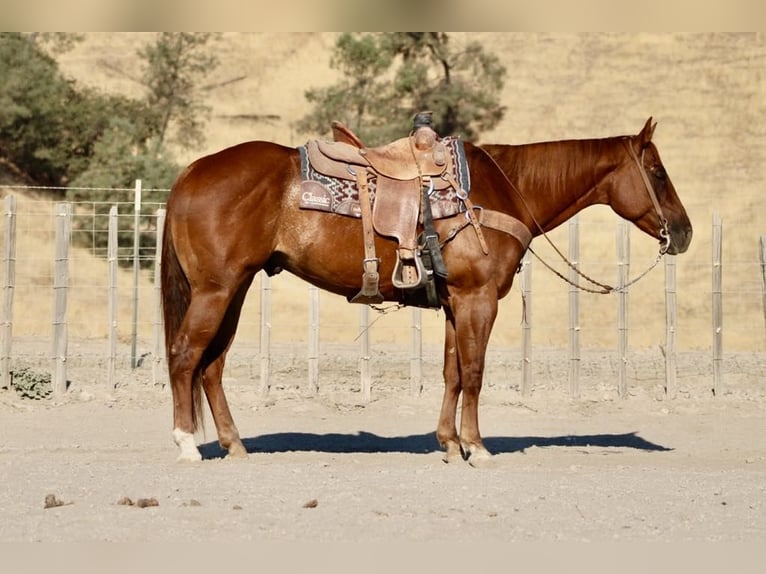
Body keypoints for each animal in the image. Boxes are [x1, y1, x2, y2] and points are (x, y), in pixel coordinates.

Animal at [162, 119, 696, 466]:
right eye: (658, 173)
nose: (684, 231)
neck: (502, 190)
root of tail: (191, 172)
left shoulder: (456, 303)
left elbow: (452, 374)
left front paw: (449, 443)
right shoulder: (479, 299)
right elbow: (475, 373)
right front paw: (477, 447)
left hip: (235, 288)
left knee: (212, 365)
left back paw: (234, 444)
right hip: (216, 290)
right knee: (186, 355)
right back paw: (186, 443)